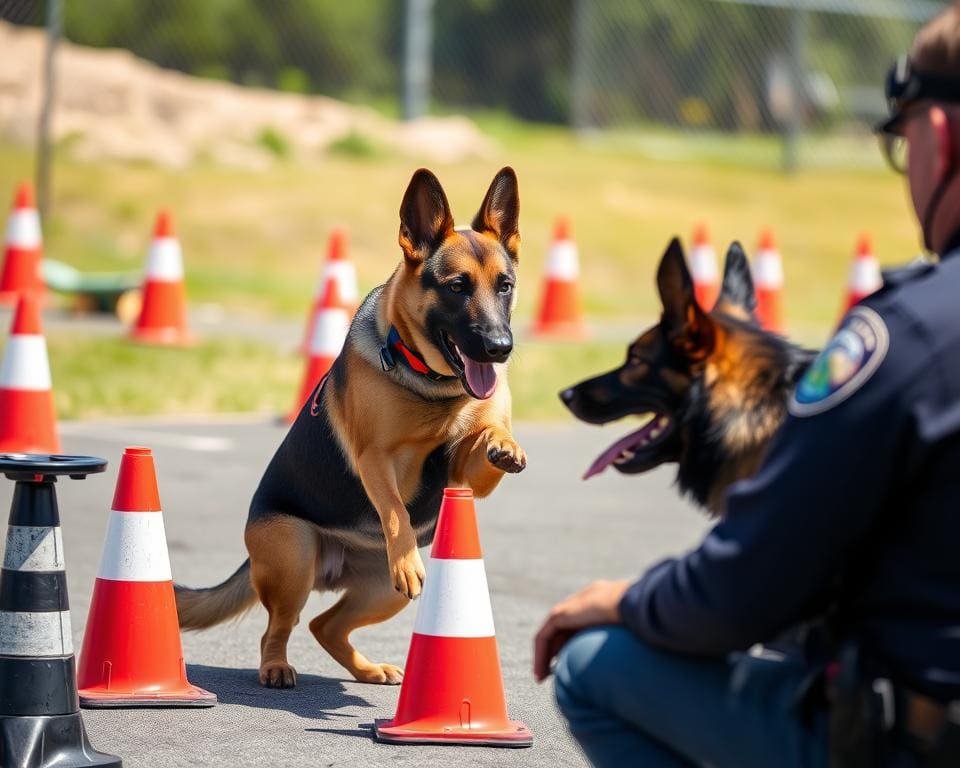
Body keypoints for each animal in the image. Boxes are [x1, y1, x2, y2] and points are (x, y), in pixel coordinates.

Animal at [176, 170, 528, 688]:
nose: (500, 347)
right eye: (458, 287)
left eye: (504, 286)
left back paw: (366, 668)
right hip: (296, 556)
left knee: (325, 625)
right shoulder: (376, 460)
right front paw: (403, 544)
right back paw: (276, 666)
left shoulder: (465, 474)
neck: (432, 385)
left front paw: (504, 443)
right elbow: (396, 512)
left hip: (379, 591)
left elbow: (487, 438)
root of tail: (335, 567)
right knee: (278, 627)